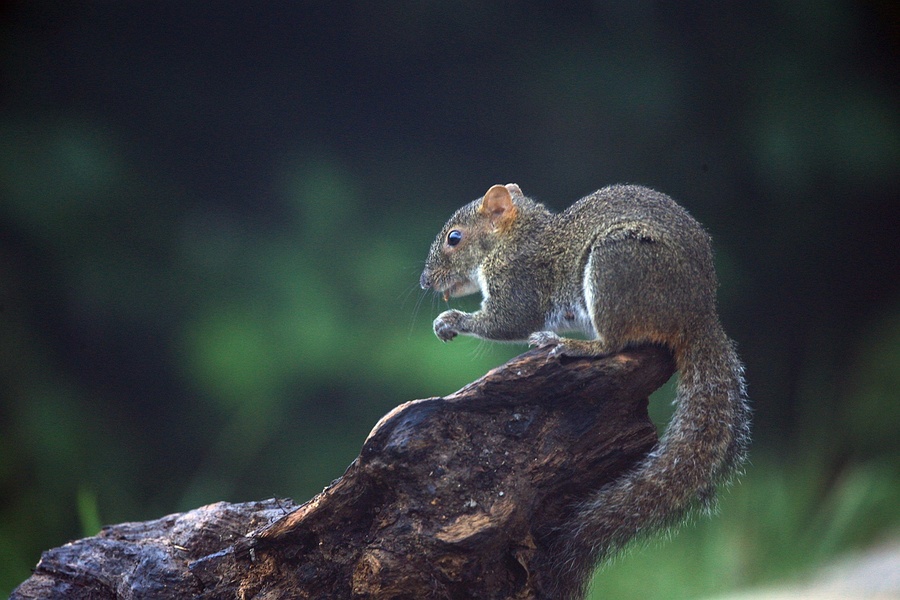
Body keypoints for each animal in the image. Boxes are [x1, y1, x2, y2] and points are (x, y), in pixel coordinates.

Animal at [422, 184, 752, 600]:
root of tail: (698, 315)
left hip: (615, 267)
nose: (425, 281)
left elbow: (507, 321)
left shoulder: (518, 283)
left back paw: (570, 344)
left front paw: (451, 320)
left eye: (455, 238)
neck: (515, 238)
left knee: (615, 342)